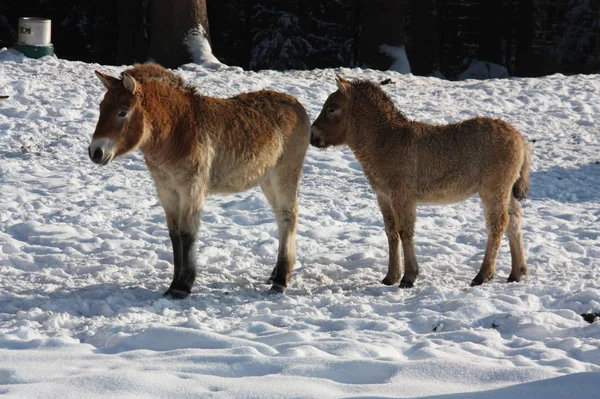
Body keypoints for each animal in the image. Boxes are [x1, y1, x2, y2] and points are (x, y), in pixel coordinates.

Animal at [92, 64, 314, 298]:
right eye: (101, 107)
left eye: (122, 112)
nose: (95, 152)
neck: (177, 131)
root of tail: (296, 104)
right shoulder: (167, 191)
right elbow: (174, 236)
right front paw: (172, 285)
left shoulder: (191, 190)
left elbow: (187, 234)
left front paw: (182, 286)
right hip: (267, 181)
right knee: (281, 218)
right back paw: (275, 274)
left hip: (284, 176)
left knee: (288, 217)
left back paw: (280, 280)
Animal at [310, 76, 528, 288]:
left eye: (331, 108)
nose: (312, 135)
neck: (384, 142)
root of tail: (520, 139)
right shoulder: (383, 196)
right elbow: (391, 233)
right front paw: (391, 276)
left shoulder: (403, 196)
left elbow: (405, 231)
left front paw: (408, 277)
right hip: (505, 190)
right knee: (514, 218)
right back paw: (517, 272)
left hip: (493, 189)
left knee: (498, 223)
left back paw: (483, 275)